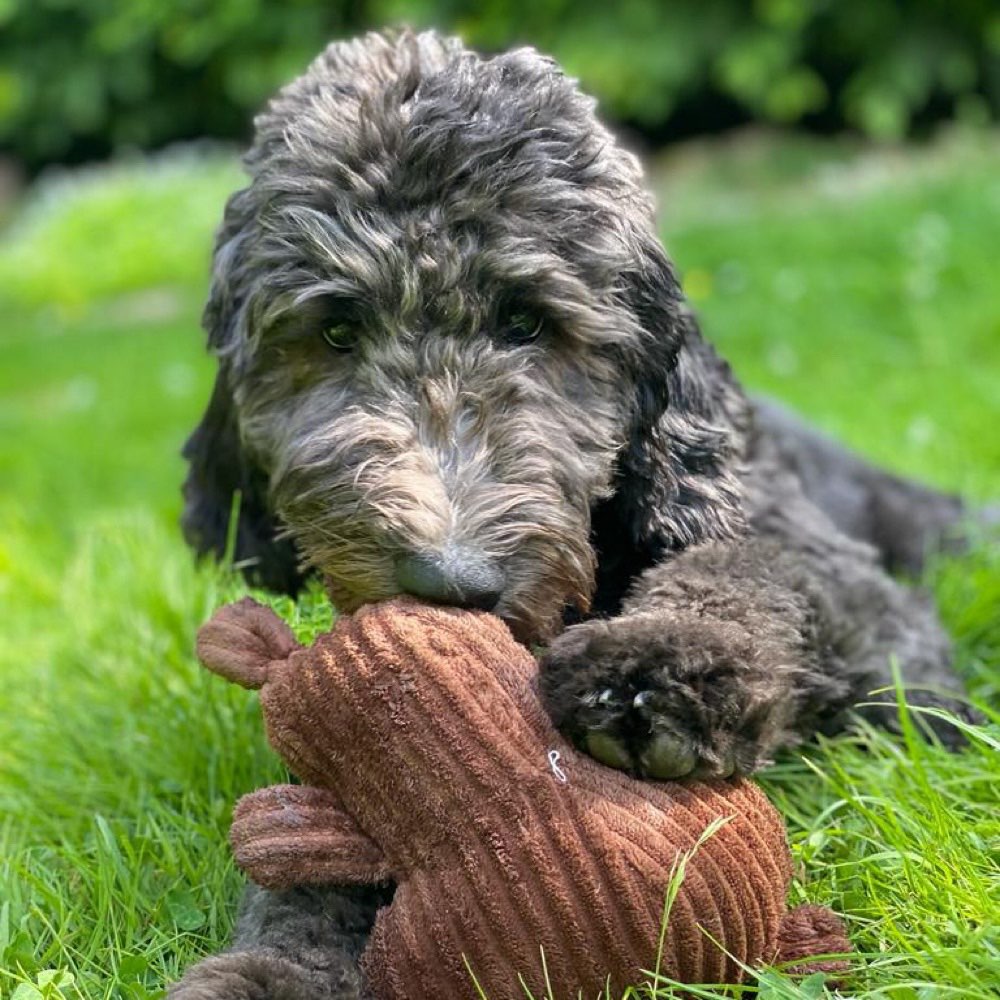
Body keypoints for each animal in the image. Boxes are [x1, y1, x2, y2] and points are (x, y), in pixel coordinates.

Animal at [170, 27, 984, 996]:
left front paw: (668, 664)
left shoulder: (844, 586)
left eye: (528, 321)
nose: (451, 582)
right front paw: (280, 958)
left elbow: (750, 570)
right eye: (335, 331)